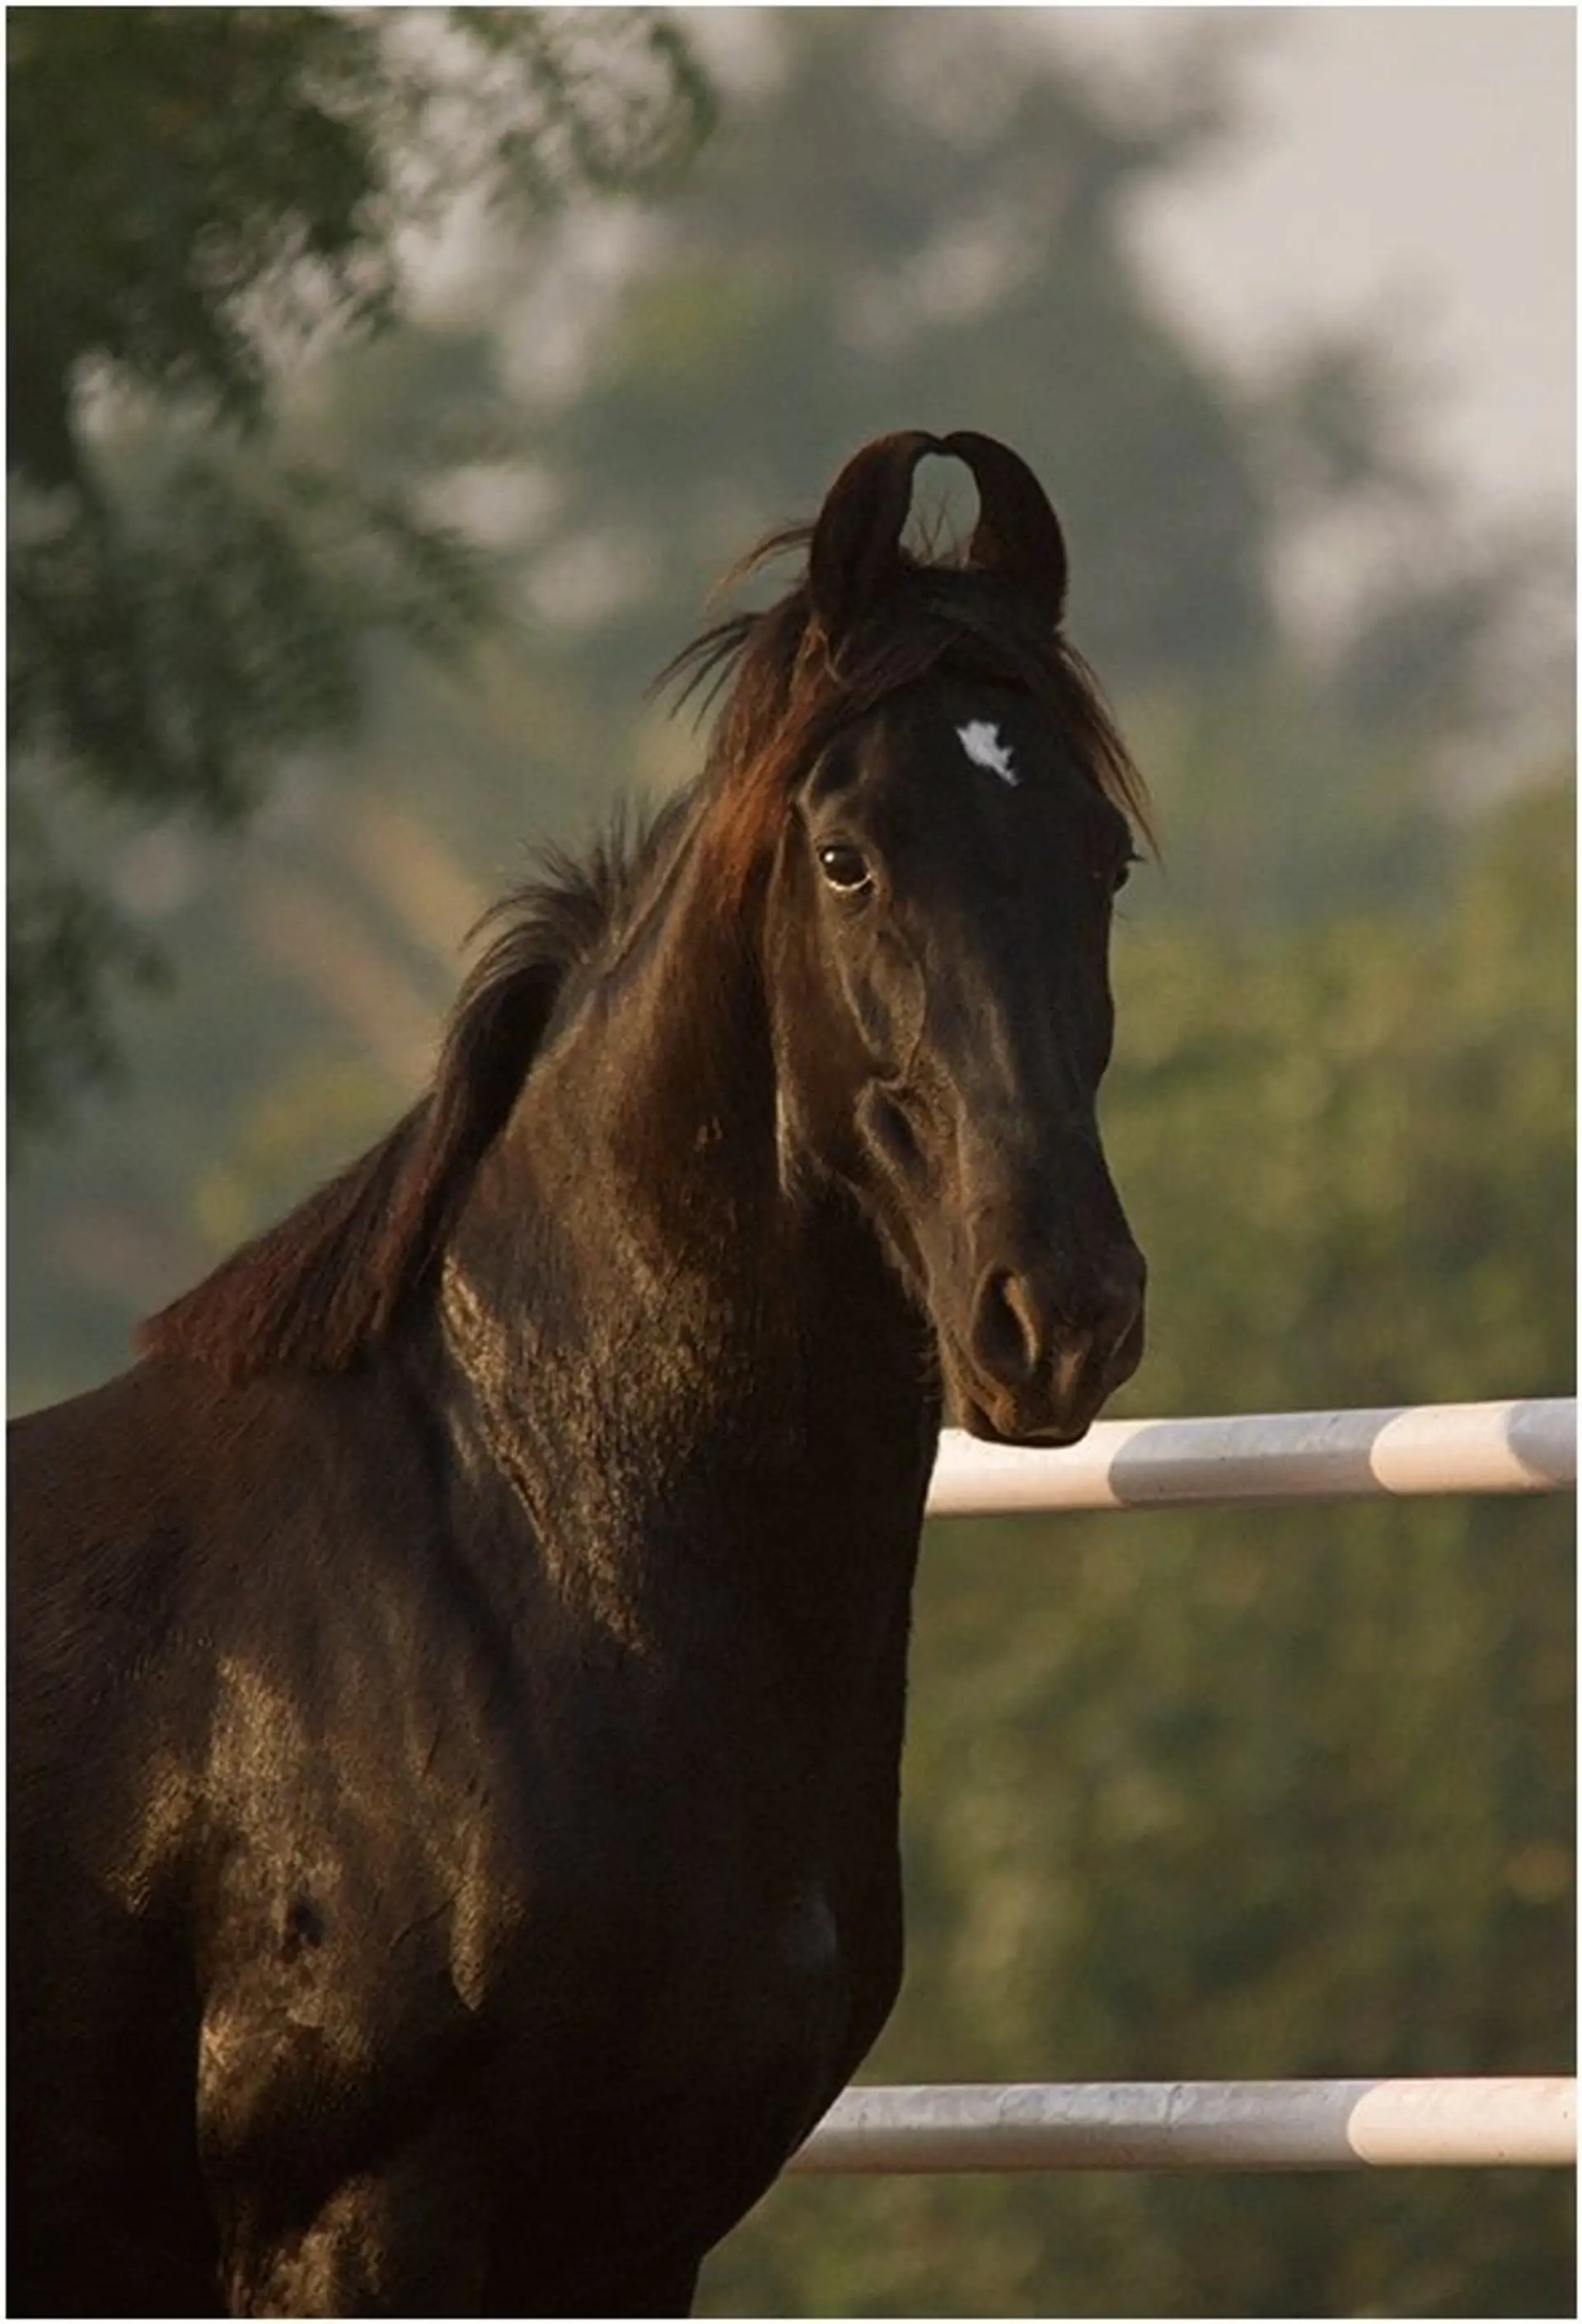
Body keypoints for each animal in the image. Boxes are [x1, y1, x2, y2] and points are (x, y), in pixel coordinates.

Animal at [9, 429, 1148, 2318]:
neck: (526, 1548)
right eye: (846, 856)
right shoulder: (354, 2230)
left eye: (1105, 858)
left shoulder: (637, 2234)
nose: (1058, 1312)